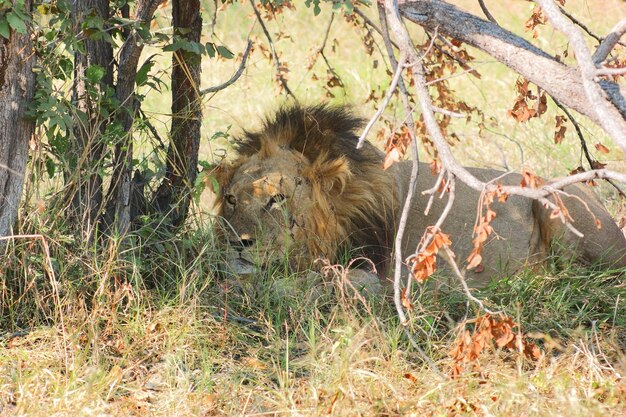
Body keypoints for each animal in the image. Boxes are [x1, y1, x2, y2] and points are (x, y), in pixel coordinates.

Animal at [216, 105, 624, 286]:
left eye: (276, 199)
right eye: (232, 200)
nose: (236, 243)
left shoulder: (374, 277)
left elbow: (291, 285)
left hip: (560, 206)